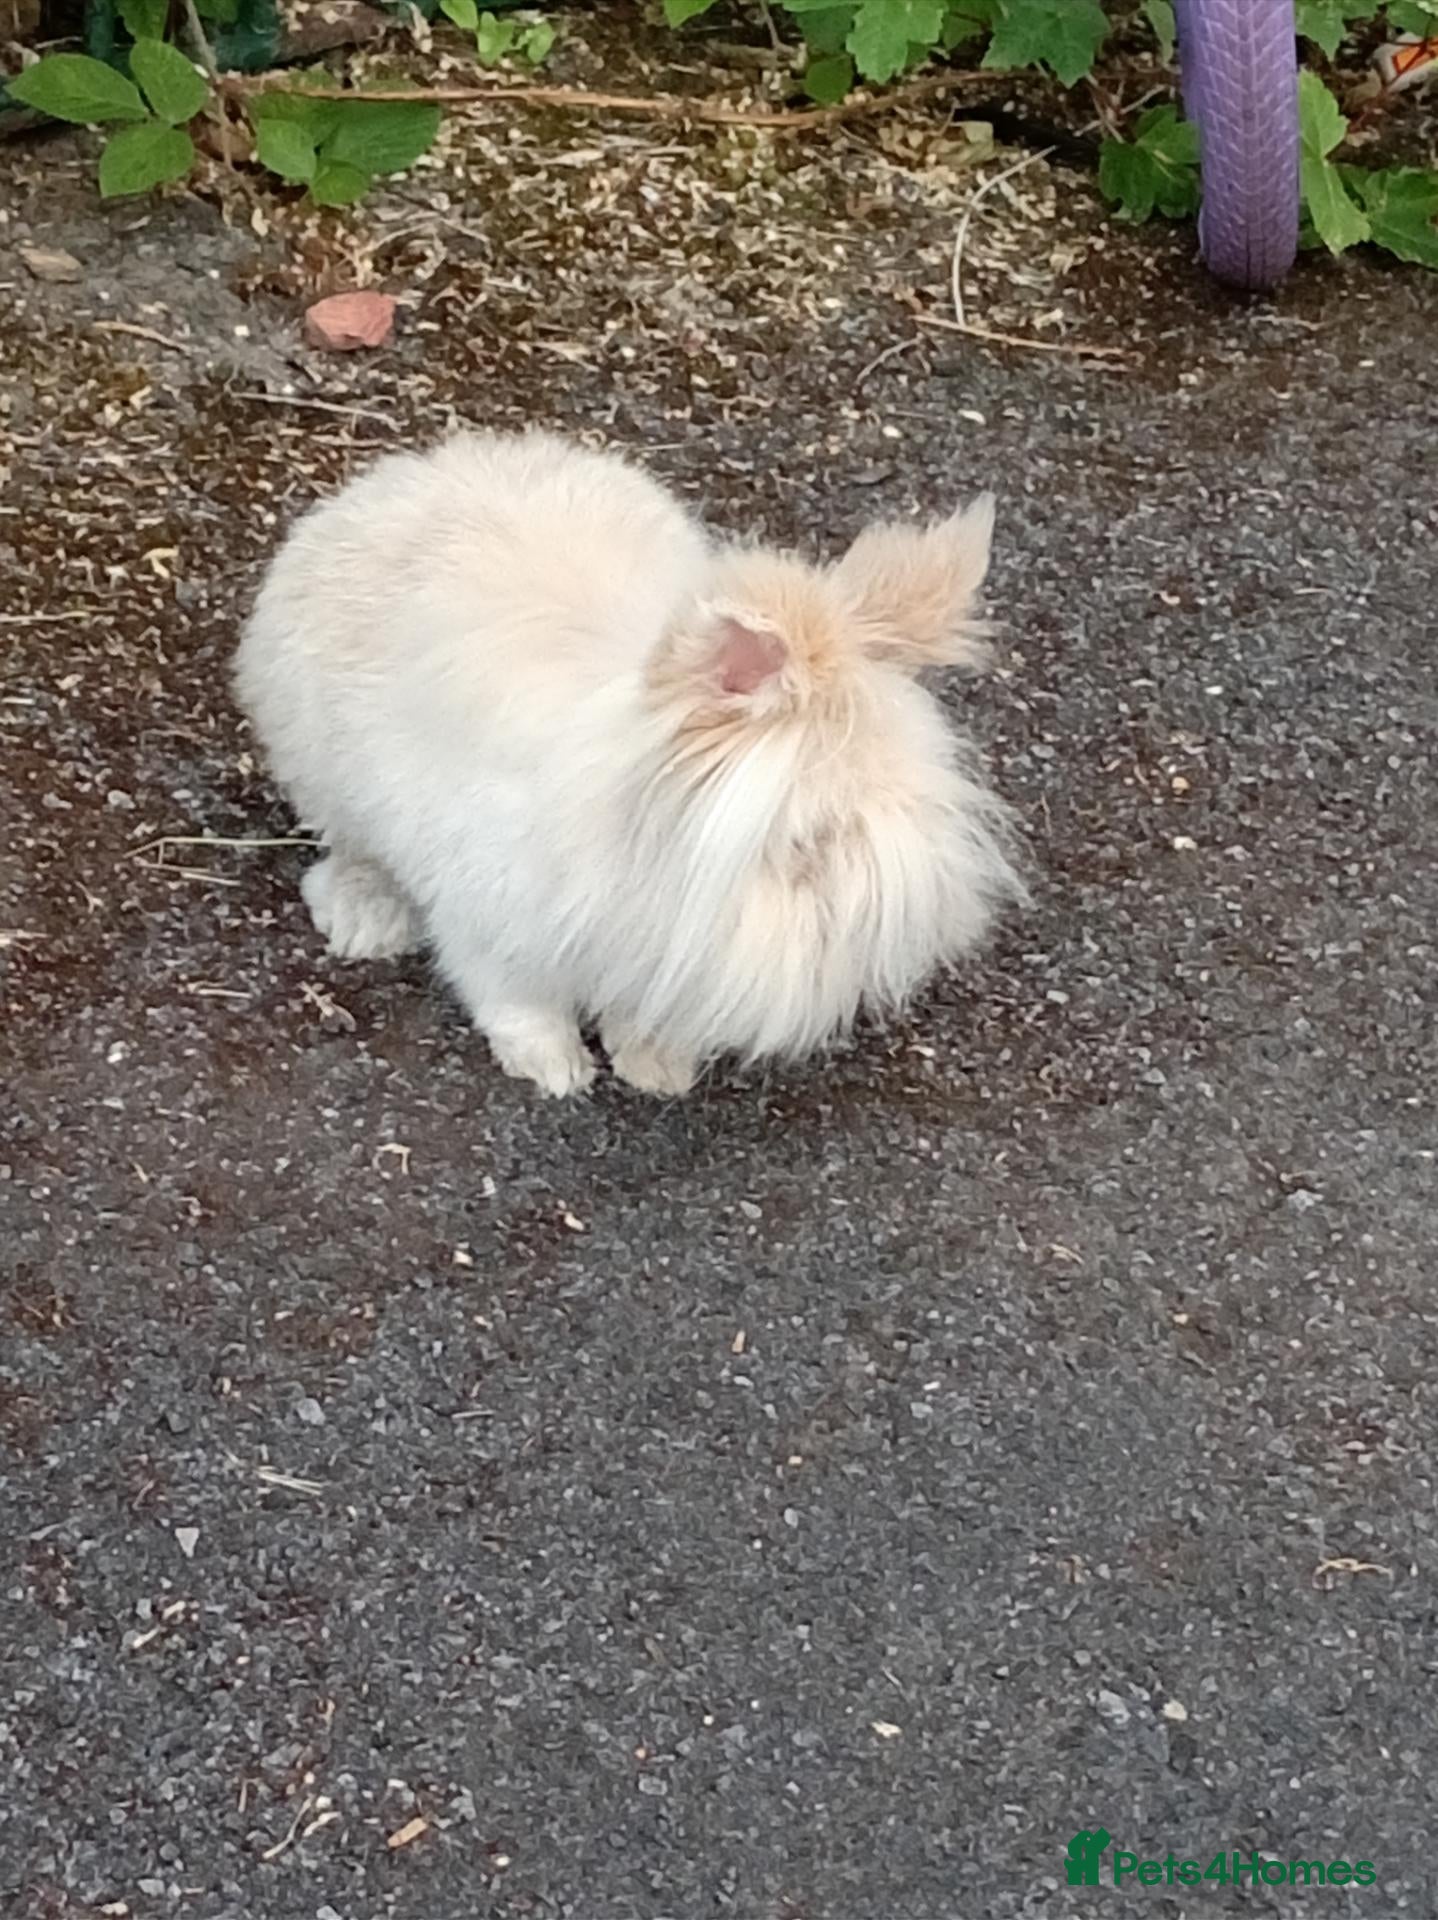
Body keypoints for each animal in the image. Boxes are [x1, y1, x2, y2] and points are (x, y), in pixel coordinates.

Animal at [233, 429, 1023, 1097]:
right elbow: (514, 997)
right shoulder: (490, 914)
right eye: (808, 843)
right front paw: (555, 1070)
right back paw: (365, 919)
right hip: (320, 765)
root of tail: (396, 478)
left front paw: (657, 1068)